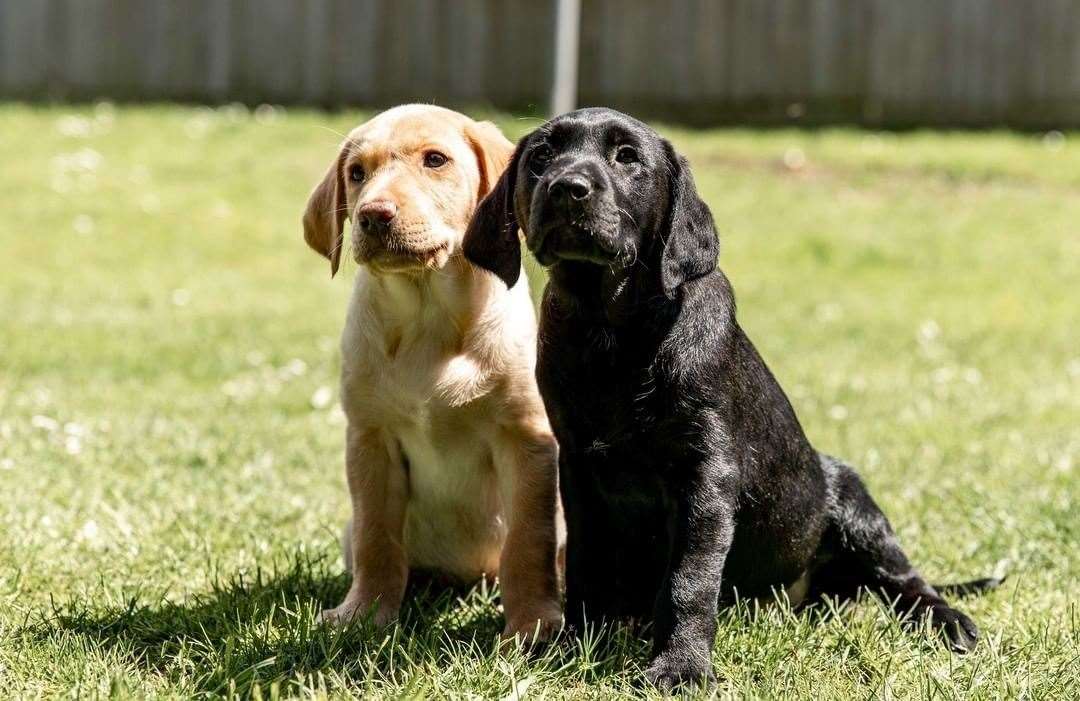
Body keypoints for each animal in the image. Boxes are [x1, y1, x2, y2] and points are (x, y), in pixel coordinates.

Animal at [300, 105, 561, 639]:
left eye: (435, 160)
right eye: (356, 173)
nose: (372, 214)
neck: (427, 318)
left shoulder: (526, 437)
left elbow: (528, 542)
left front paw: (532, 626)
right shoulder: (370, 440)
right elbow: (377, 538)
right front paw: (364, 614)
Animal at [462, 109, 993, 686]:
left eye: (627, 157)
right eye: (541, 155)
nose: (566, 188)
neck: (613, 330)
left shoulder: (707, 470)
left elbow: (689, 579)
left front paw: (680, 667)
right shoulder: (580, 469)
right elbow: (587, 563)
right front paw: (575, 644)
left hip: (858, 507)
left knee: (907, 581)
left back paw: (949, 623)